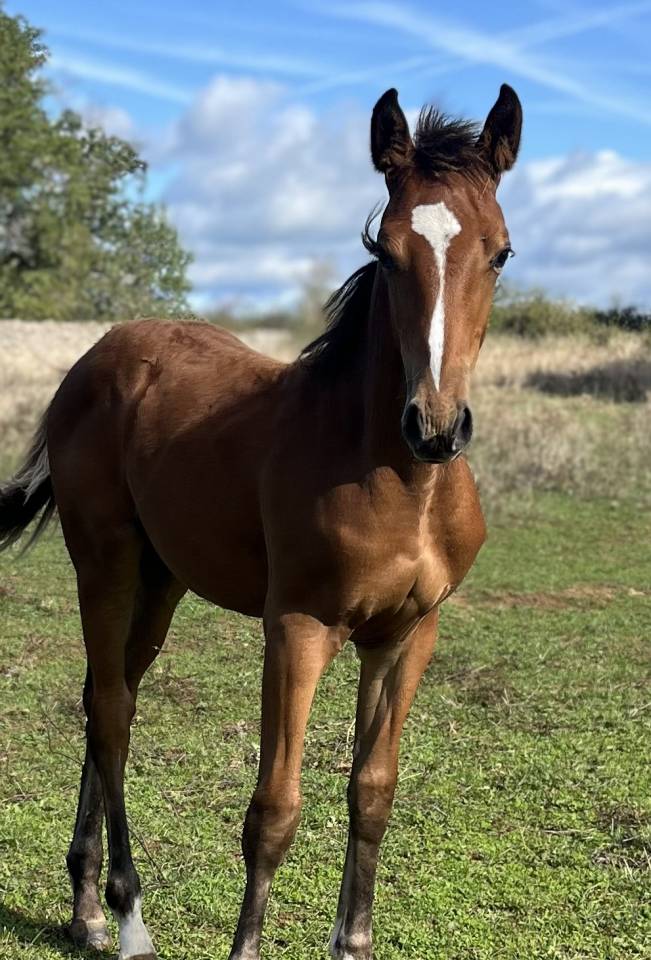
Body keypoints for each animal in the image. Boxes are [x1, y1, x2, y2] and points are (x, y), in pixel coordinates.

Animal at [0, 83, 521, 960]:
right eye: (386, 251)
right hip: (103, 559)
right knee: (112, 710)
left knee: (108, 699)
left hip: (161, 579)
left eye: (500, 253)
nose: (434, 426)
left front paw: (354, 942)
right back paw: (127, 913)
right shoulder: (299, 626)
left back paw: (86, 906)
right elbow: (273, 810)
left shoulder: (407, 634)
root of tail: (93, 360)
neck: (399, 480)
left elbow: (371, 791)